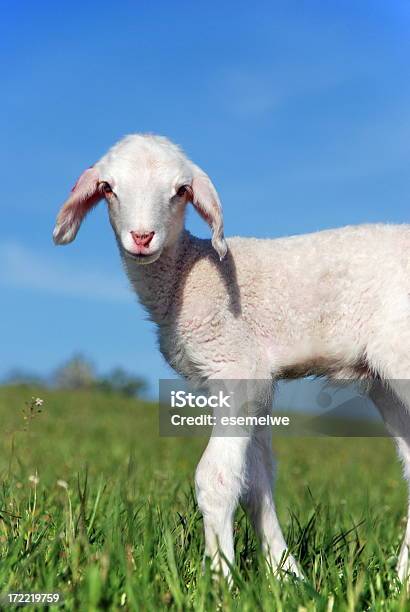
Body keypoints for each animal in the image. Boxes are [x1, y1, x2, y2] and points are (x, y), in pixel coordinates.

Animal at [53, 134, 410, 584]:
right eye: (107, 188)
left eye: (181, 190)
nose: (141, 237)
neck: (187, 274)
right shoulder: (257, 382)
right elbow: (256, 483)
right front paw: (285, 575)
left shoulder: (236, 365)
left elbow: (216, 478)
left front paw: (218, 579)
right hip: (384, 382)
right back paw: (401, 579)